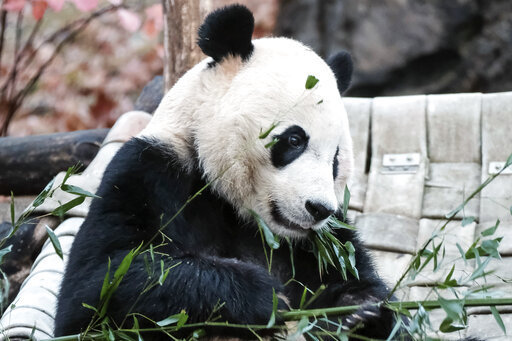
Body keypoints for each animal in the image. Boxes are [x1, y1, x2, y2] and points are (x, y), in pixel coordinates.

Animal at [53, 3, 404, 338]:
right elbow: (101, 281)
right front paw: (266, 296)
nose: (319, 208)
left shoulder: (326, 239)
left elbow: (354, 274)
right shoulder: (149, 170)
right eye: (294, 140)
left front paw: (358, 308)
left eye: (335, 160)